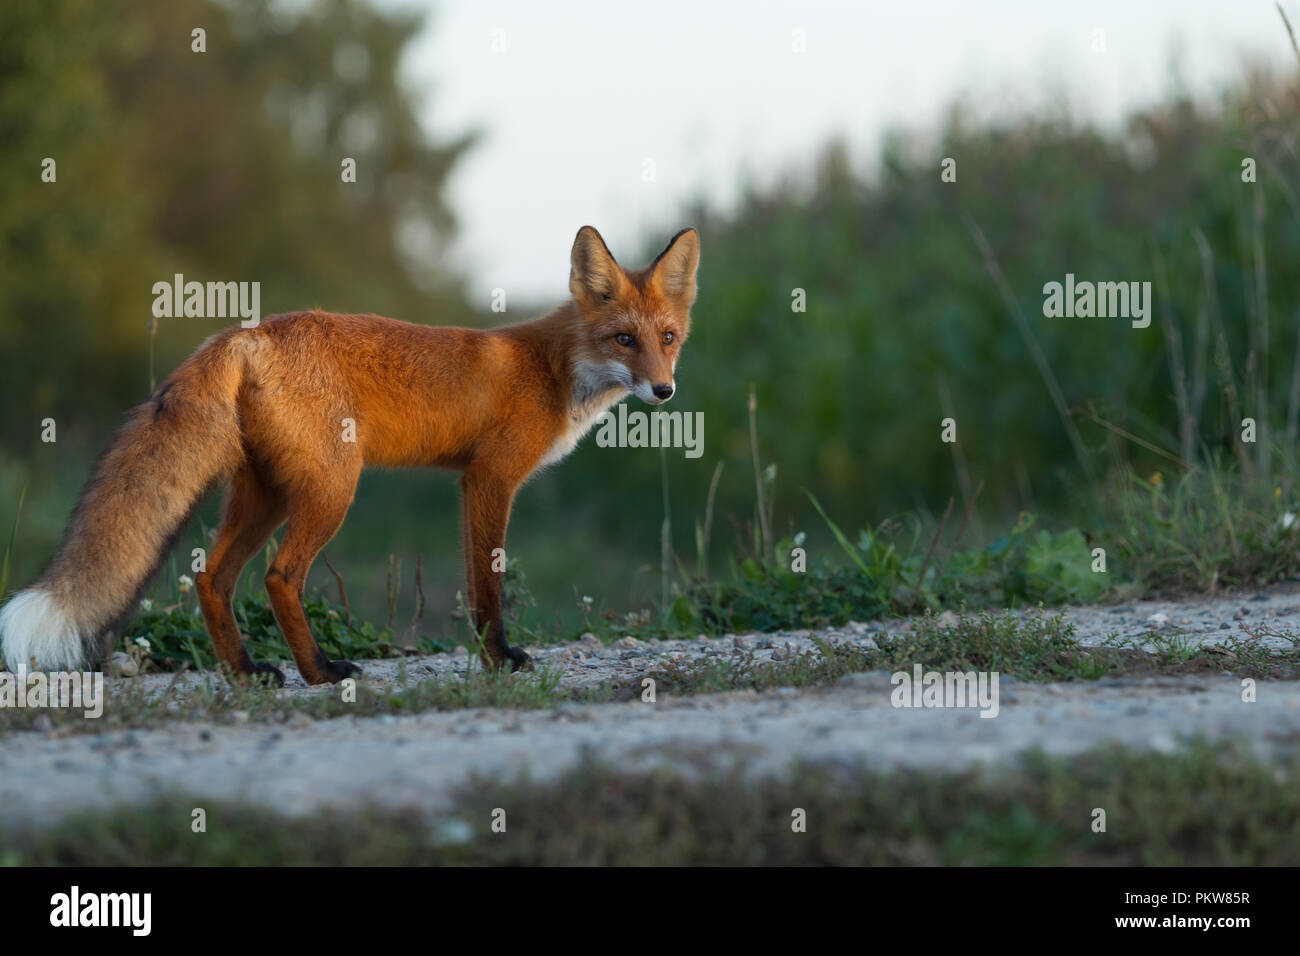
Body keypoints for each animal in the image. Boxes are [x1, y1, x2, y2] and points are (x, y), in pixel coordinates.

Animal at [0, 225, 707, 686]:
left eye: (669, 338)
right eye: (624, 340)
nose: (665, 390)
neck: (553, 368)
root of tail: (247, 332)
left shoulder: (472, 483)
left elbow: (477, 582)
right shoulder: (489, 479)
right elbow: (487, 587)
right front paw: (497, 661)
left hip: (266, 495)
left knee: (212, 578)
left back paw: (247, 672)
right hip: (333, 490)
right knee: (279, 576)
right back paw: (318, 671)